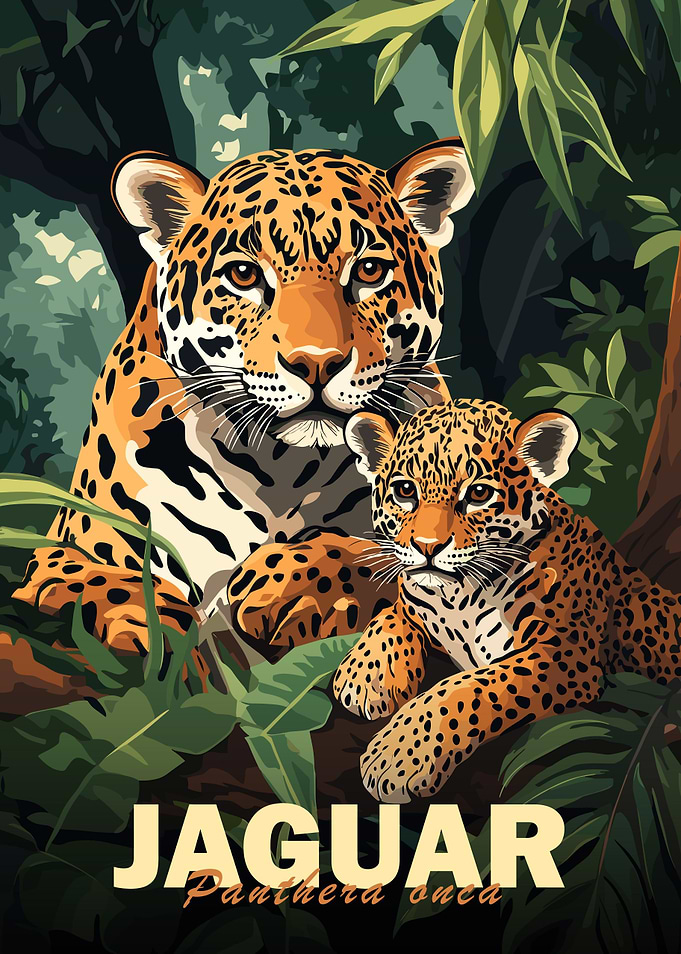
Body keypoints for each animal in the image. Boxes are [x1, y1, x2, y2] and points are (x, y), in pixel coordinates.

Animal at [12, 139, 474, 661]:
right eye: (243, 274)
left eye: (369, 271)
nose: (317, 362)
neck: (280, 470)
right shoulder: (66, 545)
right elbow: (88, 574)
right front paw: (148, 617)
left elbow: (379, 551)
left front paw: (290, 585)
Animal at [333, 398, 681, 803]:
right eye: (405, 490)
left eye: (479, 495)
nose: (427, 547)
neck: (459, 596)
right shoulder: (417, 601)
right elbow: (394, 612)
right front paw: (364, 677)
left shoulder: (565, 653)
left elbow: (473, 689)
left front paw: (398, 754)